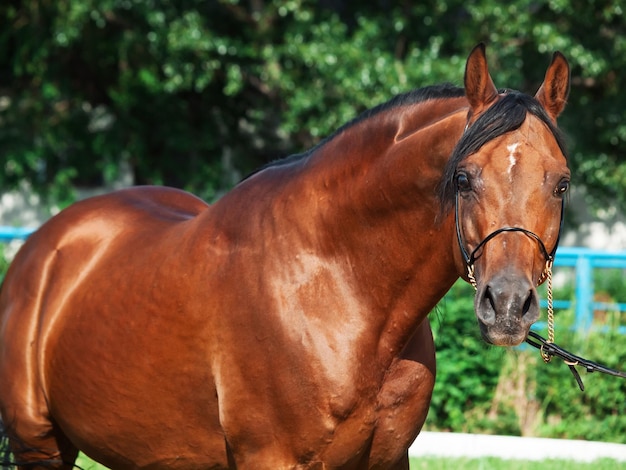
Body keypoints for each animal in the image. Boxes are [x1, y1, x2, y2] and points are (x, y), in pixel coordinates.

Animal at [0, 43, 568, 466]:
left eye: (562, 184)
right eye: (463, 179)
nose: (508, 305)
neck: (337, 286)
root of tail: (44, 246)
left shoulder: (388, 458)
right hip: (39, 446)